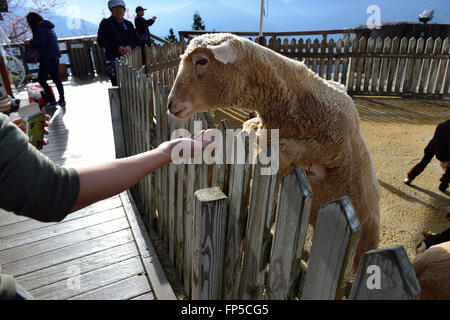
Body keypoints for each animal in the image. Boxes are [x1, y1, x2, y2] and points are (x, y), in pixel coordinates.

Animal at [168, 33, 380, 268]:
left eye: (202, 61)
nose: (170, 104)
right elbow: (253, 130)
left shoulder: (336, 148)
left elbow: (288, 149)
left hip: (363, 241)